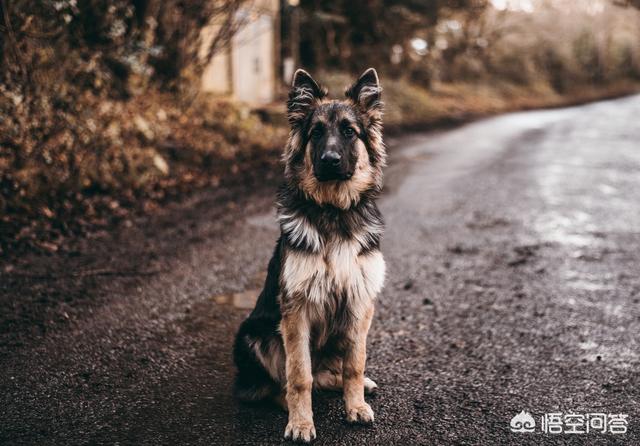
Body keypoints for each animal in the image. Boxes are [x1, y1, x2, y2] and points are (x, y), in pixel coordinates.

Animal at [234, 69, 388, 442]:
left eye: (349, 131)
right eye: (316, 132)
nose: (329, 160)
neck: (332, 211)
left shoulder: (360, 302)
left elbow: (355, 364)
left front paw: (355, 405)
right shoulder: (296, 311)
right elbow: (298, 375)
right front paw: (301, 422)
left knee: (332, 373)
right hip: (252, 334)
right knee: (277, 384)